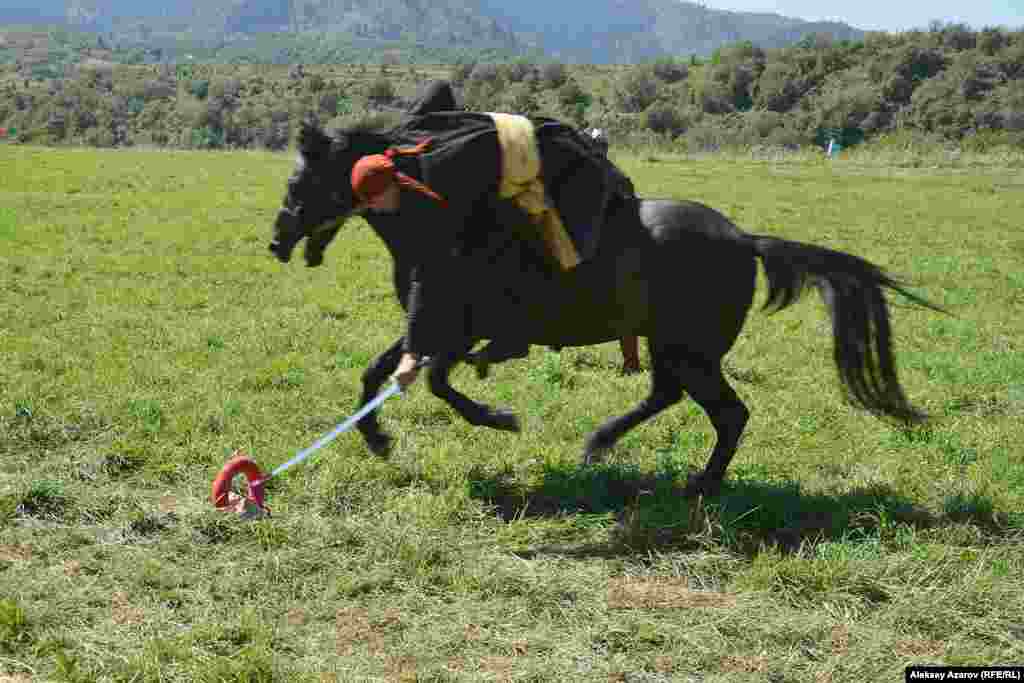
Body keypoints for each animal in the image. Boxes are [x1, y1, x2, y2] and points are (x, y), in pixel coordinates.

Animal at [270, 121, 942, 497]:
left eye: (298, 183)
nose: (277, 242)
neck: (446, 220)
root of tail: (747, 239)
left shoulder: (459, 331)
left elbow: (437, 383)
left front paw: (497, 418)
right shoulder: (430, 326)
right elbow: (376, 375)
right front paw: (379, 439)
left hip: (690, 351)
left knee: (728, 414)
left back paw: (698, 484)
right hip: (672, 347)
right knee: (671, 398)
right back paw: (601, 445)